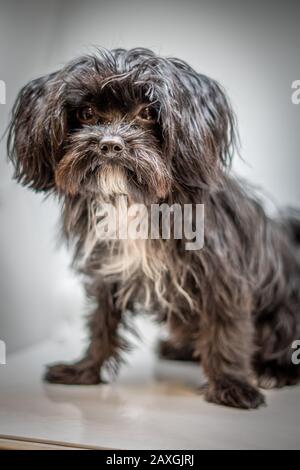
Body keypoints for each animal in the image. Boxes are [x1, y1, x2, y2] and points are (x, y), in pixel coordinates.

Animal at [7, 46, 300, 408]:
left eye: (148, 112)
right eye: (86, 113)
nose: (110, 144)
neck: (136, 201)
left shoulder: (223, 277)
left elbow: (228, 331)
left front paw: (231, 384)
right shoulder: (108, 270)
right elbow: (100, 324)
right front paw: (84, 371)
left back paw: (275, 370)